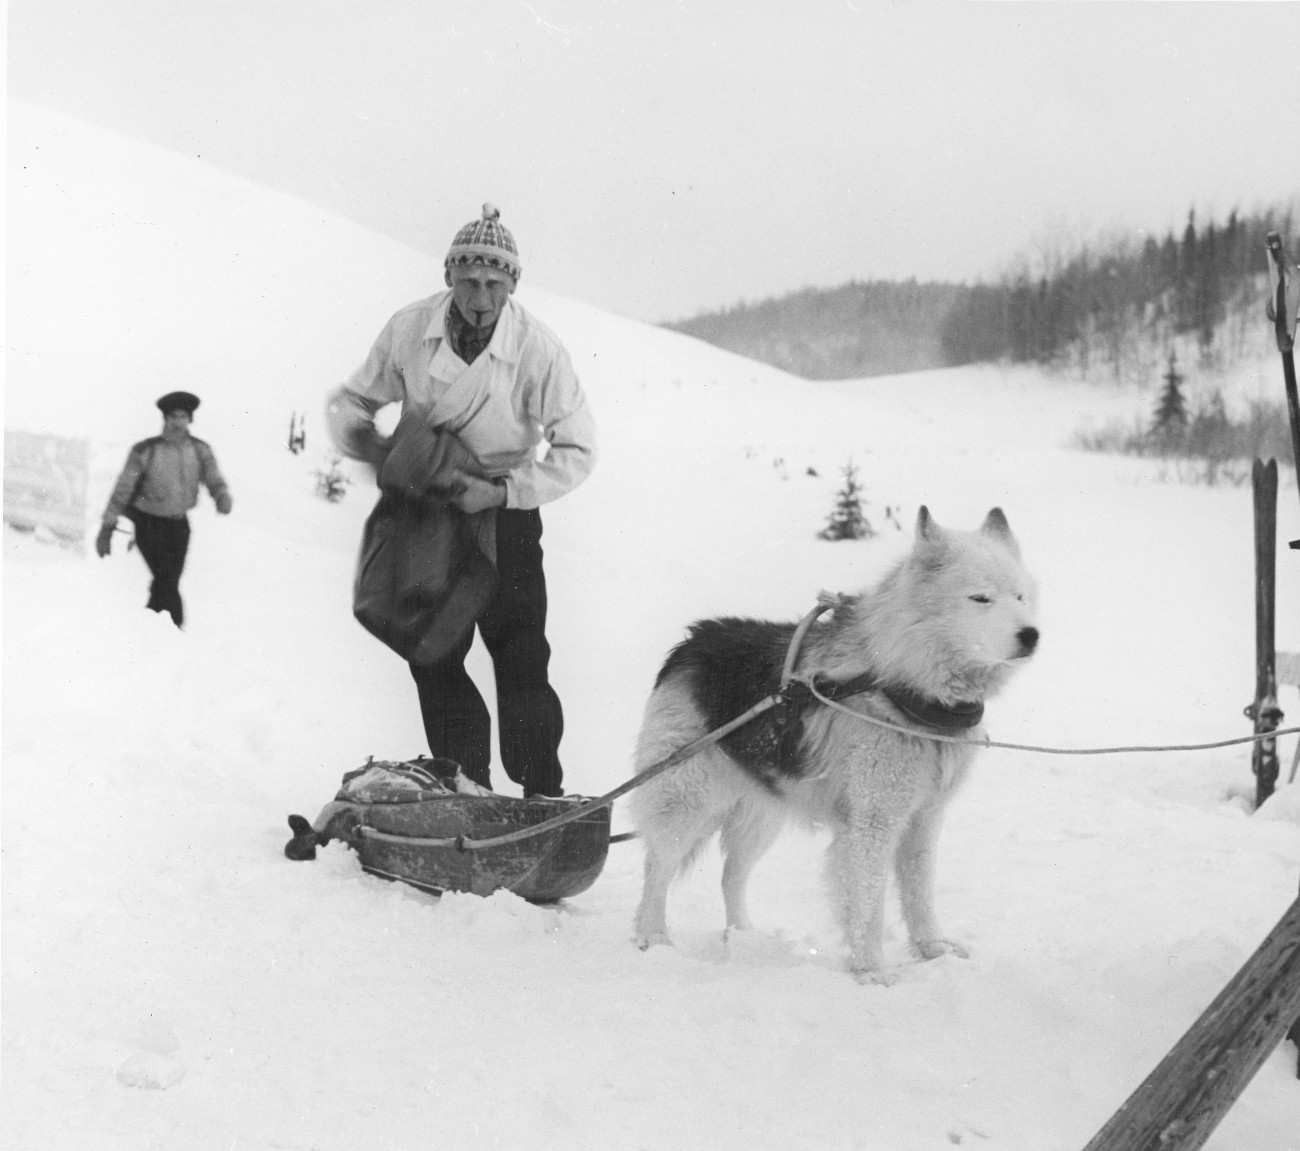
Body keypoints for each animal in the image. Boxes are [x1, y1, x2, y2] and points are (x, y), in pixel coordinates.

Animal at [624, 507, 1040, 983]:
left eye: (1020, 596)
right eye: (980, 598)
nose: (1032, 635)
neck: (903, 684)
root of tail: (693, 640)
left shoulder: (923, 819)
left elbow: (920, 894)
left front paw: (933, 950)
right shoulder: (872, 824)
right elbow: (867, 905)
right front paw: (872, 972)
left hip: (760, 815)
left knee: (732, 876)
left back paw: (744, 938)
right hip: (685, 801)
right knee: (657, 868)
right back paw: (653, 937)